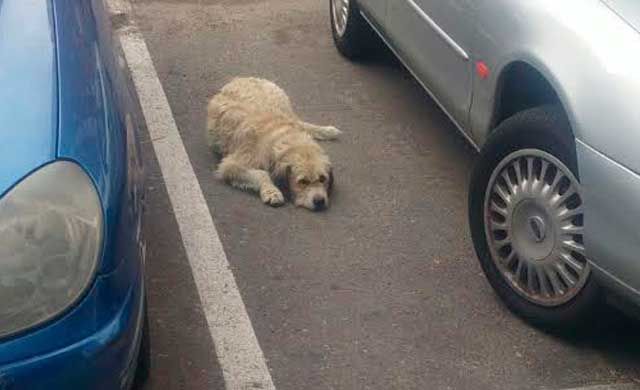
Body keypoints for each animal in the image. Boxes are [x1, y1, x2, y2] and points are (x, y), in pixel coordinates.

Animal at [208, 76, 342, 210]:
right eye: (302, 182)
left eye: (322, 179)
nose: (319, 201)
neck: (284, 137)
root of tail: (241, 78)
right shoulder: (231, 166)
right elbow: (262, 174)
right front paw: (272, 192)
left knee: (300, 122)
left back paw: (326, 130)